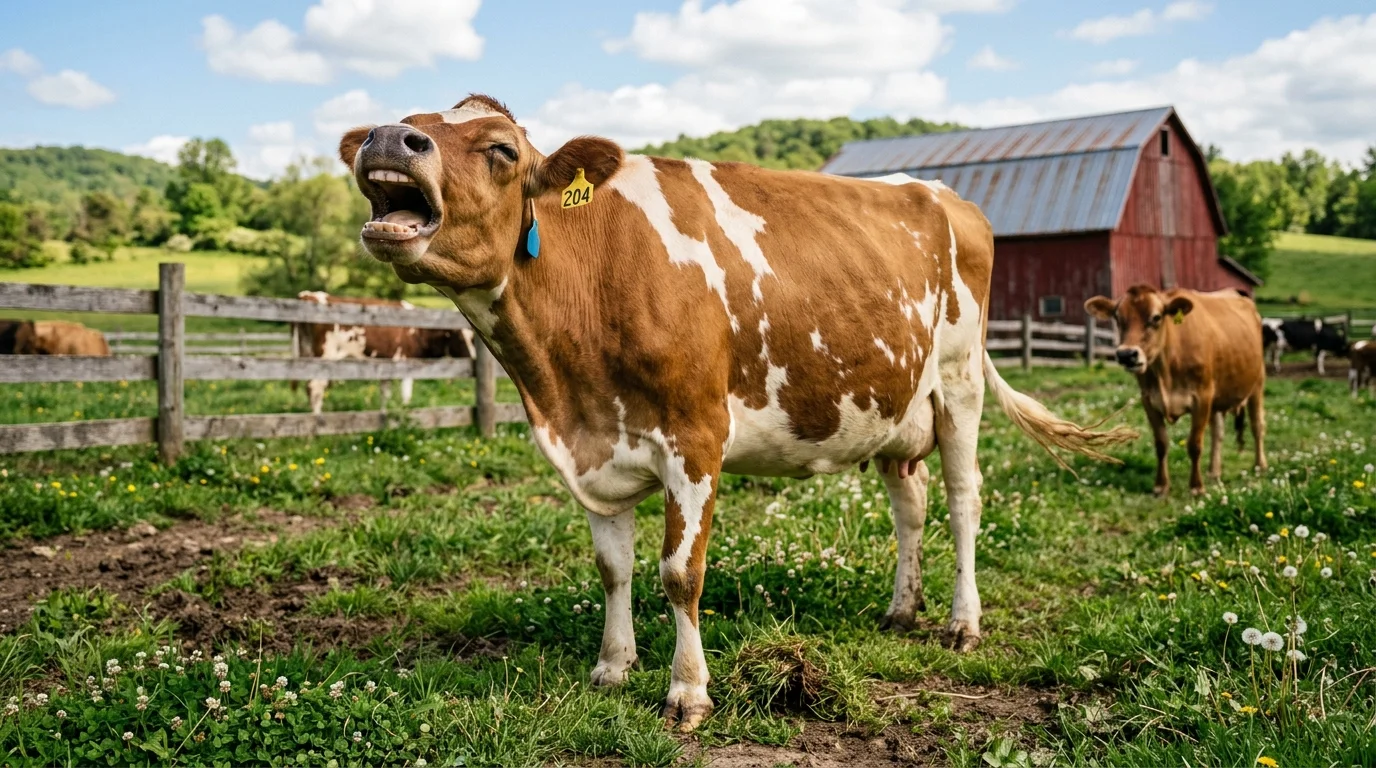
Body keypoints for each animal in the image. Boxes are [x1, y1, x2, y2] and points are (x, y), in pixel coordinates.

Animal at [294, 291, 475, 414]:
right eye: (460, 338)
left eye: (473, 338)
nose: (473, 358)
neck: (419, 331)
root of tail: (308, 295)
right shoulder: (405, 364)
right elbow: (406, 395)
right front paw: (404, 412)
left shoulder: (386, 365)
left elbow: (384, 394)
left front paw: (383, 413)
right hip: (324, 357)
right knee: (315, 386)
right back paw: (317, 418)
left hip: (307, 353)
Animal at [338, 94, 1136, 731]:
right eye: (407, 121)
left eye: (501, 149)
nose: (388, 139)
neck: (566, 387)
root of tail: (942, 192)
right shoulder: (595, 451)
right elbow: (613, 568)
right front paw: (612, 668)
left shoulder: (694, 438)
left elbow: (678, 574)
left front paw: (688, 693)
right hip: (893, 405)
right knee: (909, 506)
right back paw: (901, 609)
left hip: (958, 381)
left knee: (963, 499)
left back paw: (961, 624)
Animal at [1086, 286, 1266, 496]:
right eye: (1117, 317)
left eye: (1156, 317)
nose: (1126, 355)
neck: (1166, 370)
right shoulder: (1148, 400)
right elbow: (1161, 443)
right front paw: (1161, 485)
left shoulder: (1202, 398)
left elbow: (1194, 444)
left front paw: (1196, 487)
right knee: (1218, 433)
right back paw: (1214, 472)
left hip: (1257, 383)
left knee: (1257, 426)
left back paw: (1260, 466)